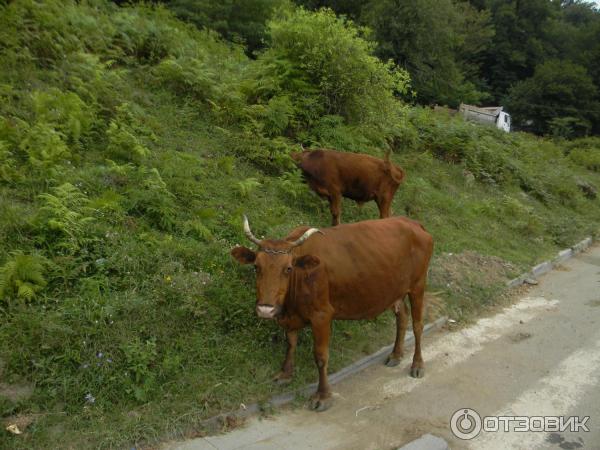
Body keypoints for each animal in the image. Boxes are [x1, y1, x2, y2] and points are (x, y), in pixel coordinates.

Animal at [230, 214, 432, 412]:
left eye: (288, 268)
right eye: (256, 267)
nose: (266, 309)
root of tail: (412, 222)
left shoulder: (322, 315)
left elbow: (321, 356)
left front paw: (323, 396)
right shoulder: (290, 316)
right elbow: (290, 343)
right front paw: (285, 374)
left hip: (418, 285)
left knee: (417, 325)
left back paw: (417, 365)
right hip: (394, 290)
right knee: (402, 316)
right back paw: (396, 355)